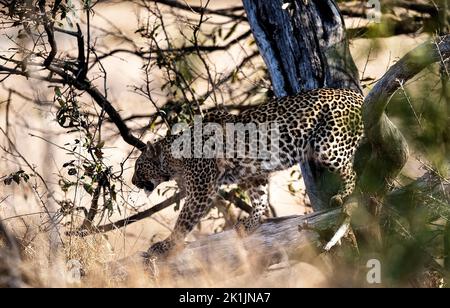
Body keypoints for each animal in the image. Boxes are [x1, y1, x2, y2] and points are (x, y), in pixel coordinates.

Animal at [132, 88, 364, 258]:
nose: (133, 181)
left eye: (138, 166)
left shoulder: (201, 191)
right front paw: (251, 223)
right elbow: (259, 199)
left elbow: (182, 222)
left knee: (351, 172)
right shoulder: (254, 175)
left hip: (329, 145)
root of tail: (355, 94)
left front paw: (164, 246)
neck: (174, 161)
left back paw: (343, 196)